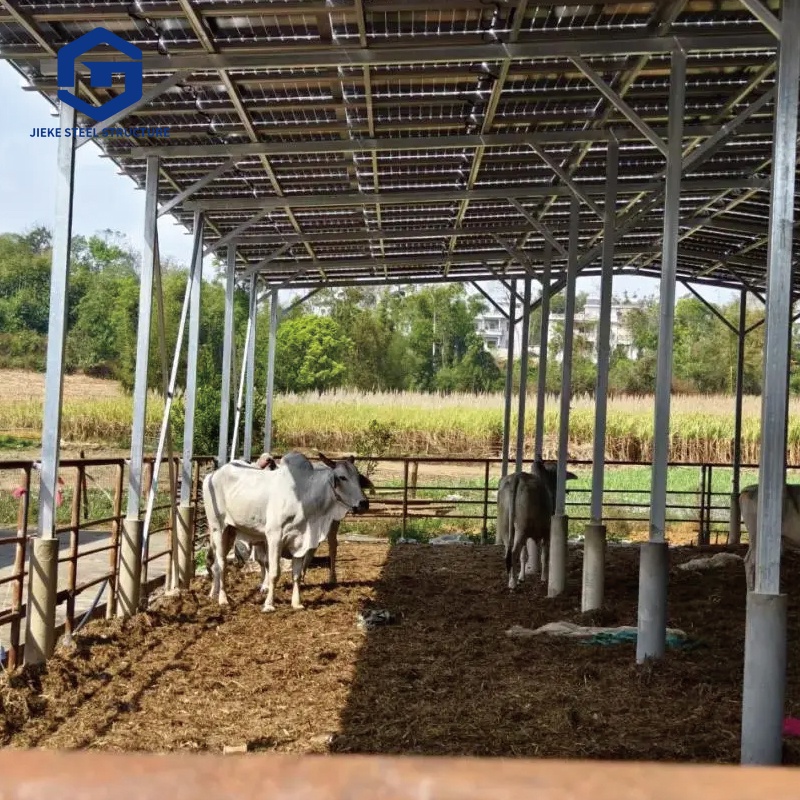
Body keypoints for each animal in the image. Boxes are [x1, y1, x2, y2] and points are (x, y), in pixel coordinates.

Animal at [203, 450, 370, 612]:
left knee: (217, 564)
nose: (363, 503)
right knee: (222, 563)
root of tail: (212, 475)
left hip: (231, 531)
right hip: (218, 528)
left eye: (358, 477)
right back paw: (223, 599)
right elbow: (274, 572)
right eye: (342, 477)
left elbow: (296, 574)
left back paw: (215, 593)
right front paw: (269, 604)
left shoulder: (301, 540)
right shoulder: (274, 536)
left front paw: (296, 603)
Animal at [496, 458, 577, 590]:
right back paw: (513, 583)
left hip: (506, 527)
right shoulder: (547, 532)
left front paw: (522, 577)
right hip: (521, 529)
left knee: (508, 552)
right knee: (513, 552)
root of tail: (518, 477)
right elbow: (544, 555)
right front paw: (544, 578)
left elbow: (524, 555)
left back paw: (511, 579)